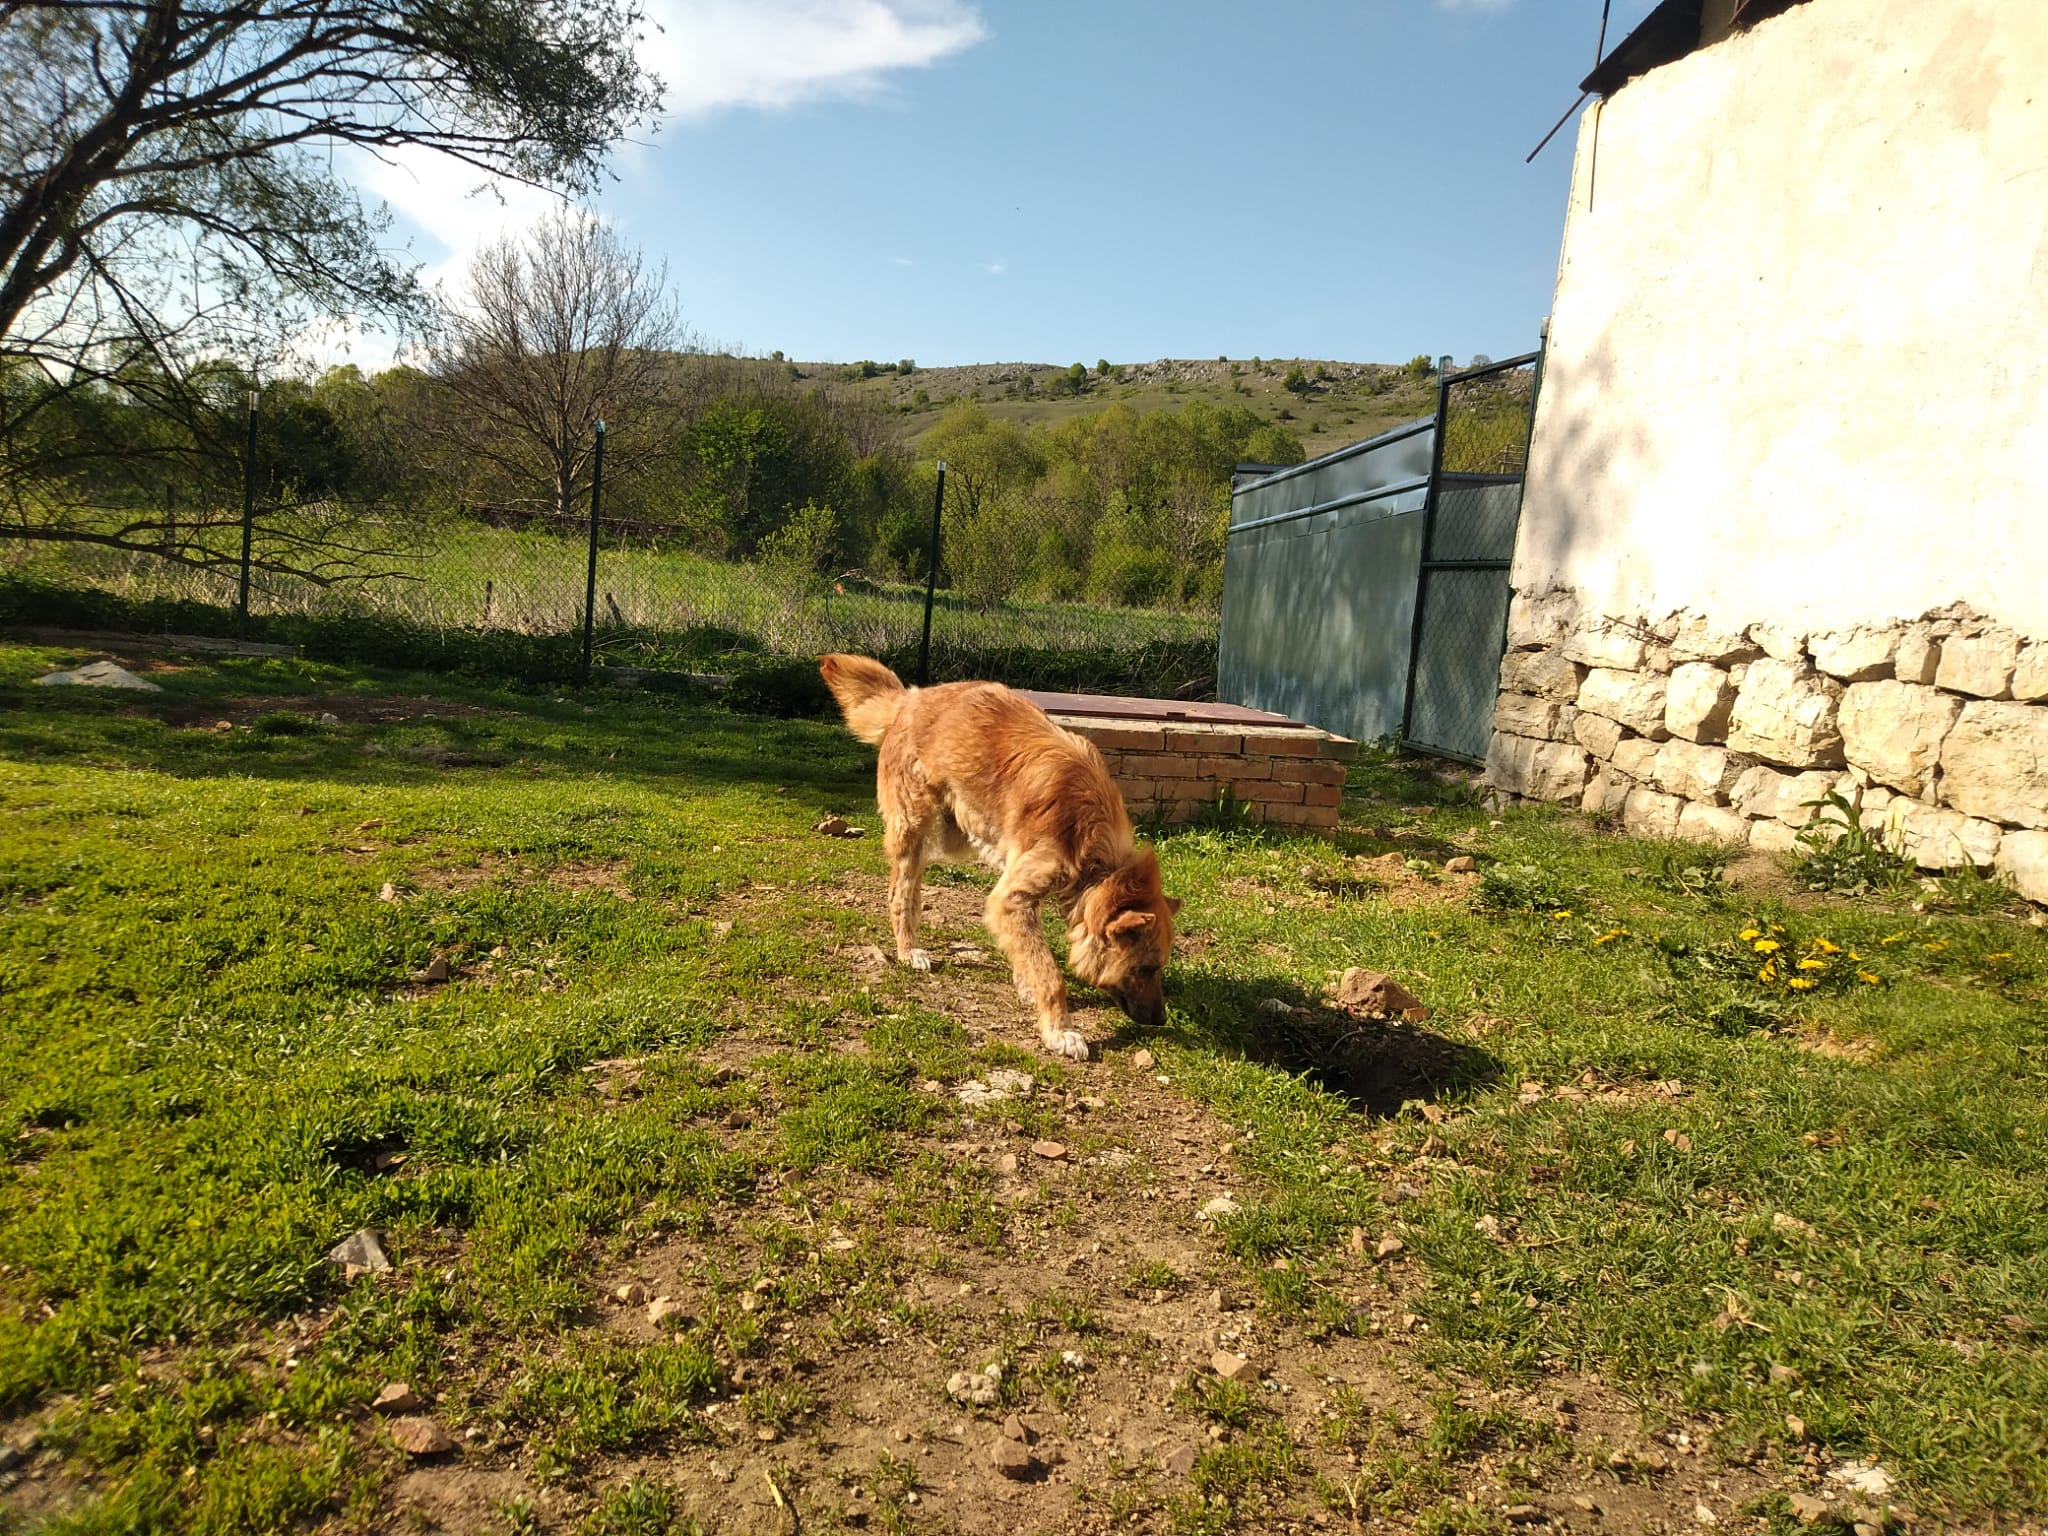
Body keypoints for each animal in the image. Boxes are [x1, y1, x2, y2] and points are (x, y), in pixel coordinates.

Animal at [819, 654, 1180, 1061]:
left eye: (1157, 967)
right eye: (1146, 968)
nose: (1161, 1020)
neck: (1092, 843)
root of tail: (910, 698)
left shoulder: (1019, 893)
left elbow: (1030, 955)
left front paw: (1027, 984)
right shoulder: (1013, 898)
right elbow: (1051, 974)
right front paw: (1061, 1030)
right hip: (915, 829)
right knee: (901, 894)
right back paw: (908, 950)